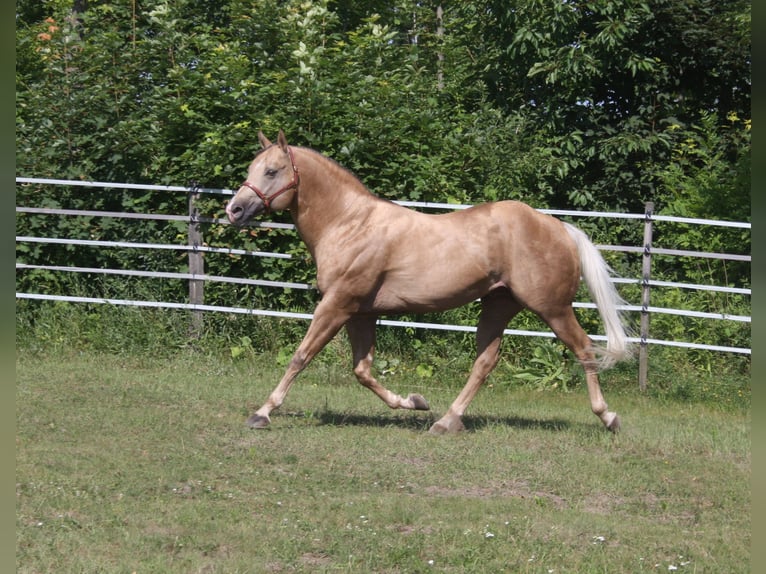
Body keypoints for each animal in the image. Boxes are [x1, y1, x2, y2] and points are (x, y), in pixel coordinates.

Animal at [225, 130, 631, 434]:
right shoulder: (360, 313)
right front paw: (413, 402)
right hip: (499, 306)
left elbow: (301, 356)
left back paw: (609, 417)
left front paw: (262, 413)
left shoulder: (337, 305)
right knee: (485, 362)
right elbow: (362, 370)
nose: (235, 210)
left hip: (553, 308)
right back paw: (446, 421)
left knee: (584, 349)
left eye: (272, 171)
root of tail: (558, 227)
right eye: (252, 168)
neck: (350, 224)